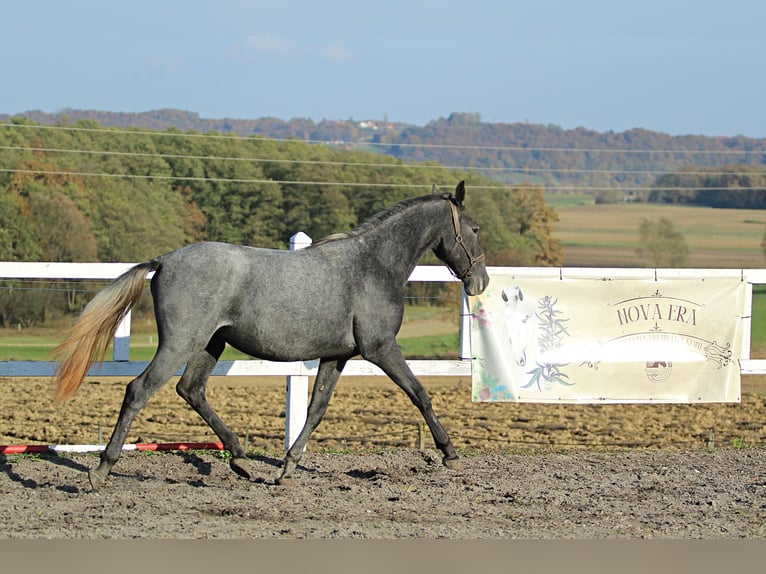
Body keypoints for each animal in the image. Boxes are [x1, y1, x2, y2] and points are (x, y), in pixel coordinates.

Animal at [54, 183, 488, 490]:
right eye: (475, 228)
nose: (480, 282)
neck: (373, 265)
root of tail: (164, 261)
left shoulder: (337, 355)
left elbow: (316, 409)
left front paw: (288, 468)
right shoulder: (379, 348)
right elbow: (419, 393)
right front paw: (450, 452)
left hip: (210, 344)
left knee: (191, 390)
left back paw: (241, 459)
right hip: (181, 342)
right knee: (139, 390)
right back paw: (101, 470)